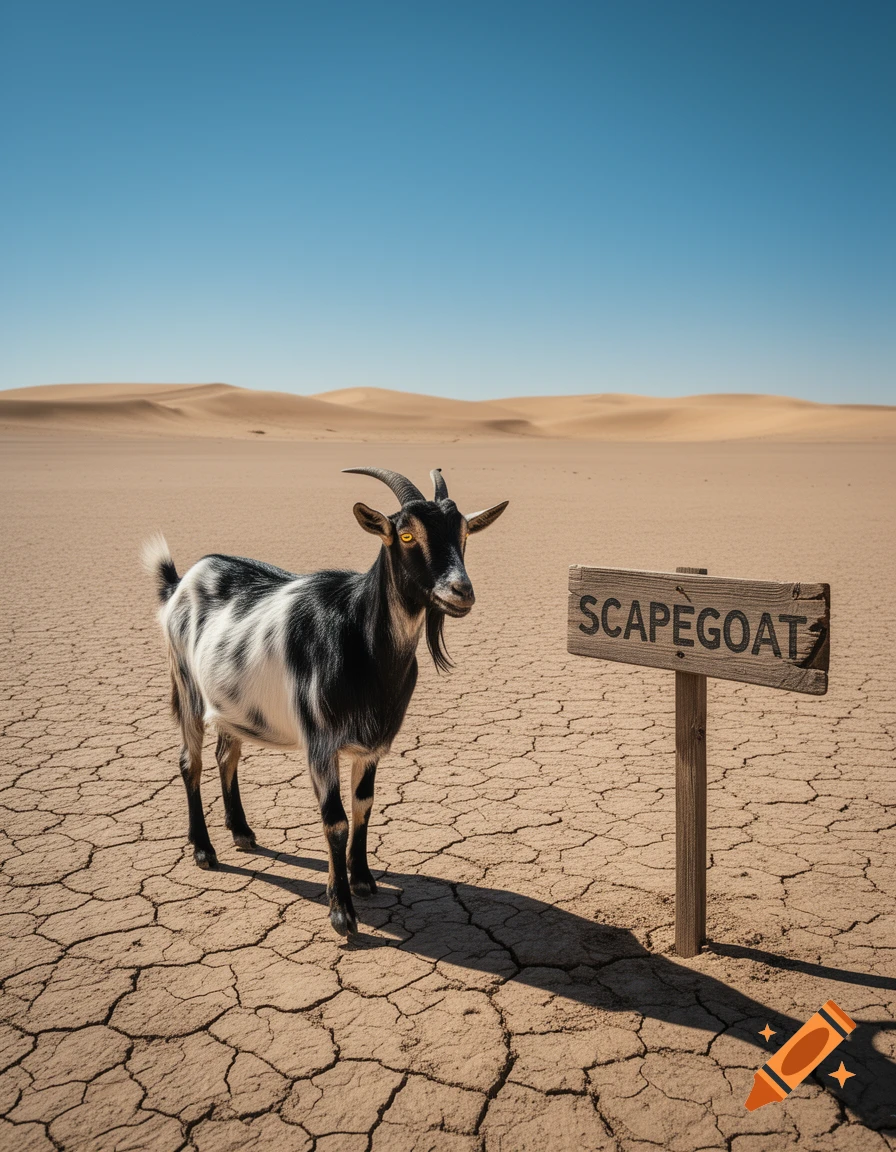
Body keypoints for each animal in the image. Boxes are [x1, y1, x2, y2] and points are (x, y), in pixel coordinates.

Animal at [143, 467, 508, 935]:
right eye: (406, 535)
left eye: (463, 532)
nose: (460, 591)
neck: (360, 641)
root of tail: (180, 582)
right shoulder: (320, 742)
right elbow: (334, 818)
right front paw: (341, 912)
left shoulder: (372, 745)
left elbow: (363, 805)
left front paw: (363, 879)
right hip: (186, 687)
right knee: (191, 762)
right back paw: (205, 851)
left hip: (231, 707)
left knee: (228, 755)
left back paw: (241, 832)